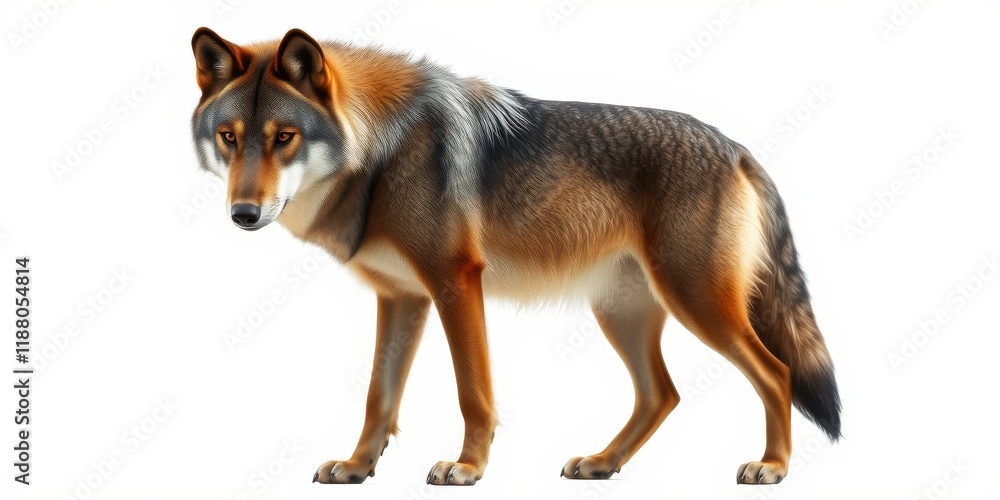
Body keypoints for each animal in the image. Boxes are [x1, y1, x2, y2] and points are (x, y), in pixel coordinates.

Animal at [190, 27, 841, 486]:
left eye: (283, 137)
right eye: (230, 137)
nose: (243, 213)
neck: (382, 151)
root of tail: (737, 148)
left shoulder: (455, 283)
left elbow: (472, 391)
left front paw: (468, 468)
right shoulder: (400, 298)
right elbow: (379, 398)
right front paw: (356, 468)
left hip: (698, 305)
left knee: (777, 374)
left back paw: (772, 466)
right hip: (623, 313)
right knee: (663, 394)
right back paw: (602, 462)